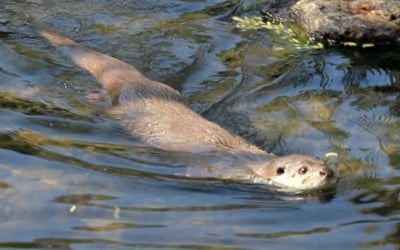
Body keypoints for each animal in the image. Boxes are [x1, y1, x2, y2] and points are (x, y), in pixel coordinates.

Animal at [39, 28, 334, 189]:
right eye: (303, 170)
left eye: (323, 161)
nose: (327, 172)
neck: (251, 162)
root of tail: (133, 81)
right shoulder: (220, 169)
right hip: (119, 104)